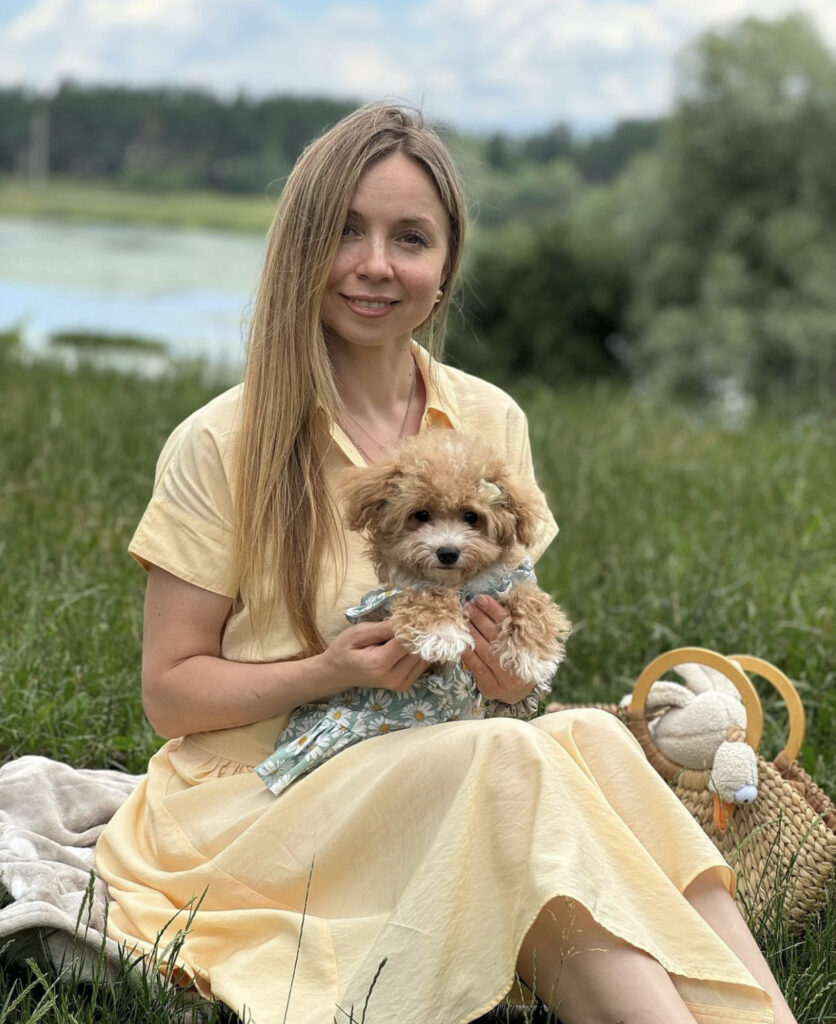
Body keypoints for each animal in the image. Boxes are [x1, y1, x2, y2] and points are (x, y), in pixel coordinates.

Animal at [342, 432, 569, 696]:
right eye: (421, 514)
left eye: (471, 516)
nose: (448, 553)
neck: (460, 585)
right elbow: (425, 593)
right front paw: (442, 633)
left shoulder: (505, 581)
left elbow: (530, 598)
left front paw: (532, 654)